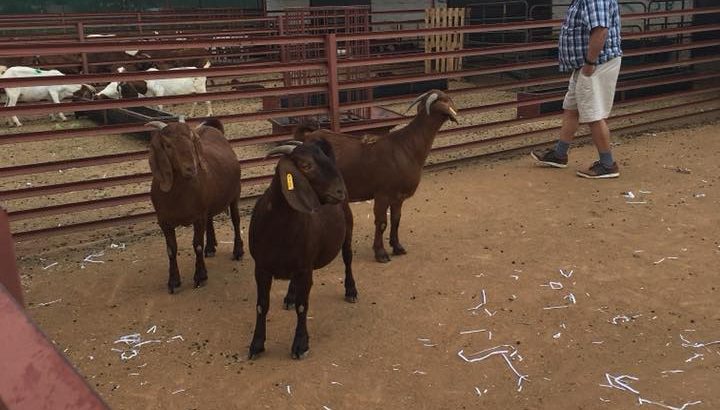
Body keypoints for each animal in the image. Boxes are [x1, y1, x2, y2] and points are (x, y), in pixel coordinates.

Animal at [147, 118, 243, 294]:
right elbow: (171, 250)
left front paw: (200, 277)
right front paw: (173, 281)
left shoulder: (198, 217)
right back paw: (210, 247)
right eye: (168, 145)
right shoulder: (164, 221)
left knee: (236, 220)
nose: (191, 168)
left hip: (235, 193)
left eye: (191, 142)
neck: (178, 196)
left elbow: (197, 245)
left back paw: (238, 251)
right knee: (210, 219)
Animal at [248, 140, 357, 360]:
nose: (340, 191)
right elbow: (262, 305)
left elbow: (302, 306)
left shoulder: (305, 268)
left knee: (348, 258)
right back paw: (289, 296)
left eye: (324, 158)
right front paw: (256, 344)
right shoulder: (261, 267)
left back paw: (351, 290)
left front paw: (300, 345)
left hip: (347, 230)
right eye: (306, 165)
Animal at [295, 90, 458, 263]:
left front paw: (397, 247)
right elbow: (381, 223)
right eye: (445, 101)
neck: (407, 146)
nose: (456, 112)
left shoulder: (398, 197)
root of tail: (306, 137)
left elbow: (396, 219)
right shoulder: (382, 194)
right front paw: (380, 253)